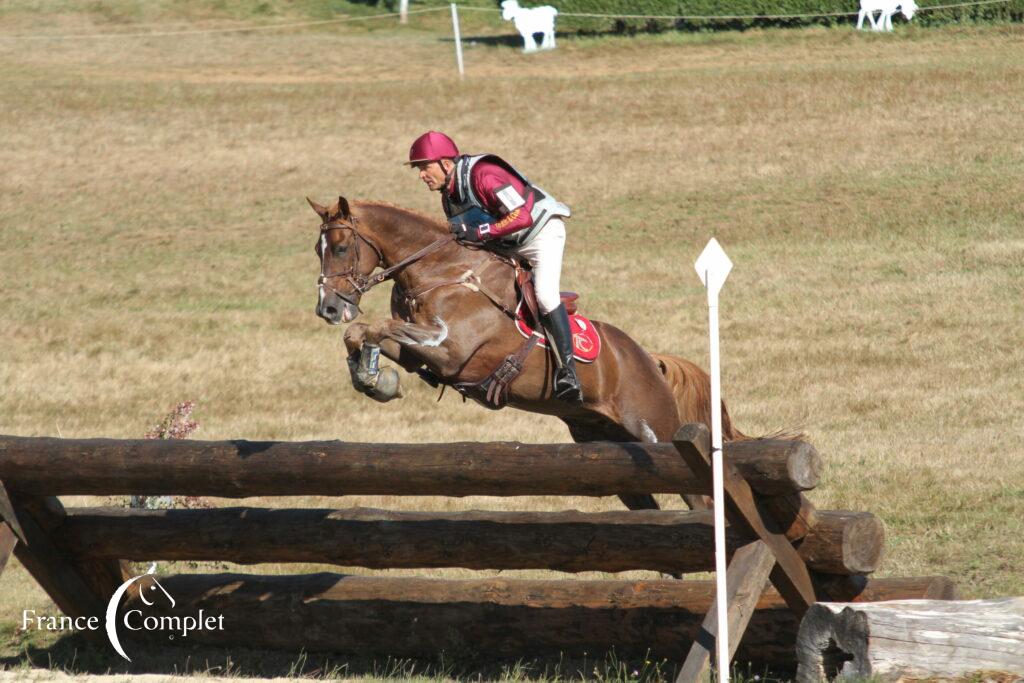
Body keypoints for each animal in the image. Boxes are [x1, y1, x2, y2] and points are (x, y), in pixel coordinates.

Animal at [303, 194, 745, 509]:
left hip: (657, 432)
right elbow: (362, 332)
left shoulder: (450, 349)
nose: (328, 308)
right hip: (603, 442)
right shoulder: (419, 351)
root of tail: (650, 361)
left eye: (339, 248)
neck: (439, 271)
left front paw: (375, 378)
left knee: (703, 498)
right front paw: (374, 379)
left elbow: (374, 327)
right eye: (316, 249)